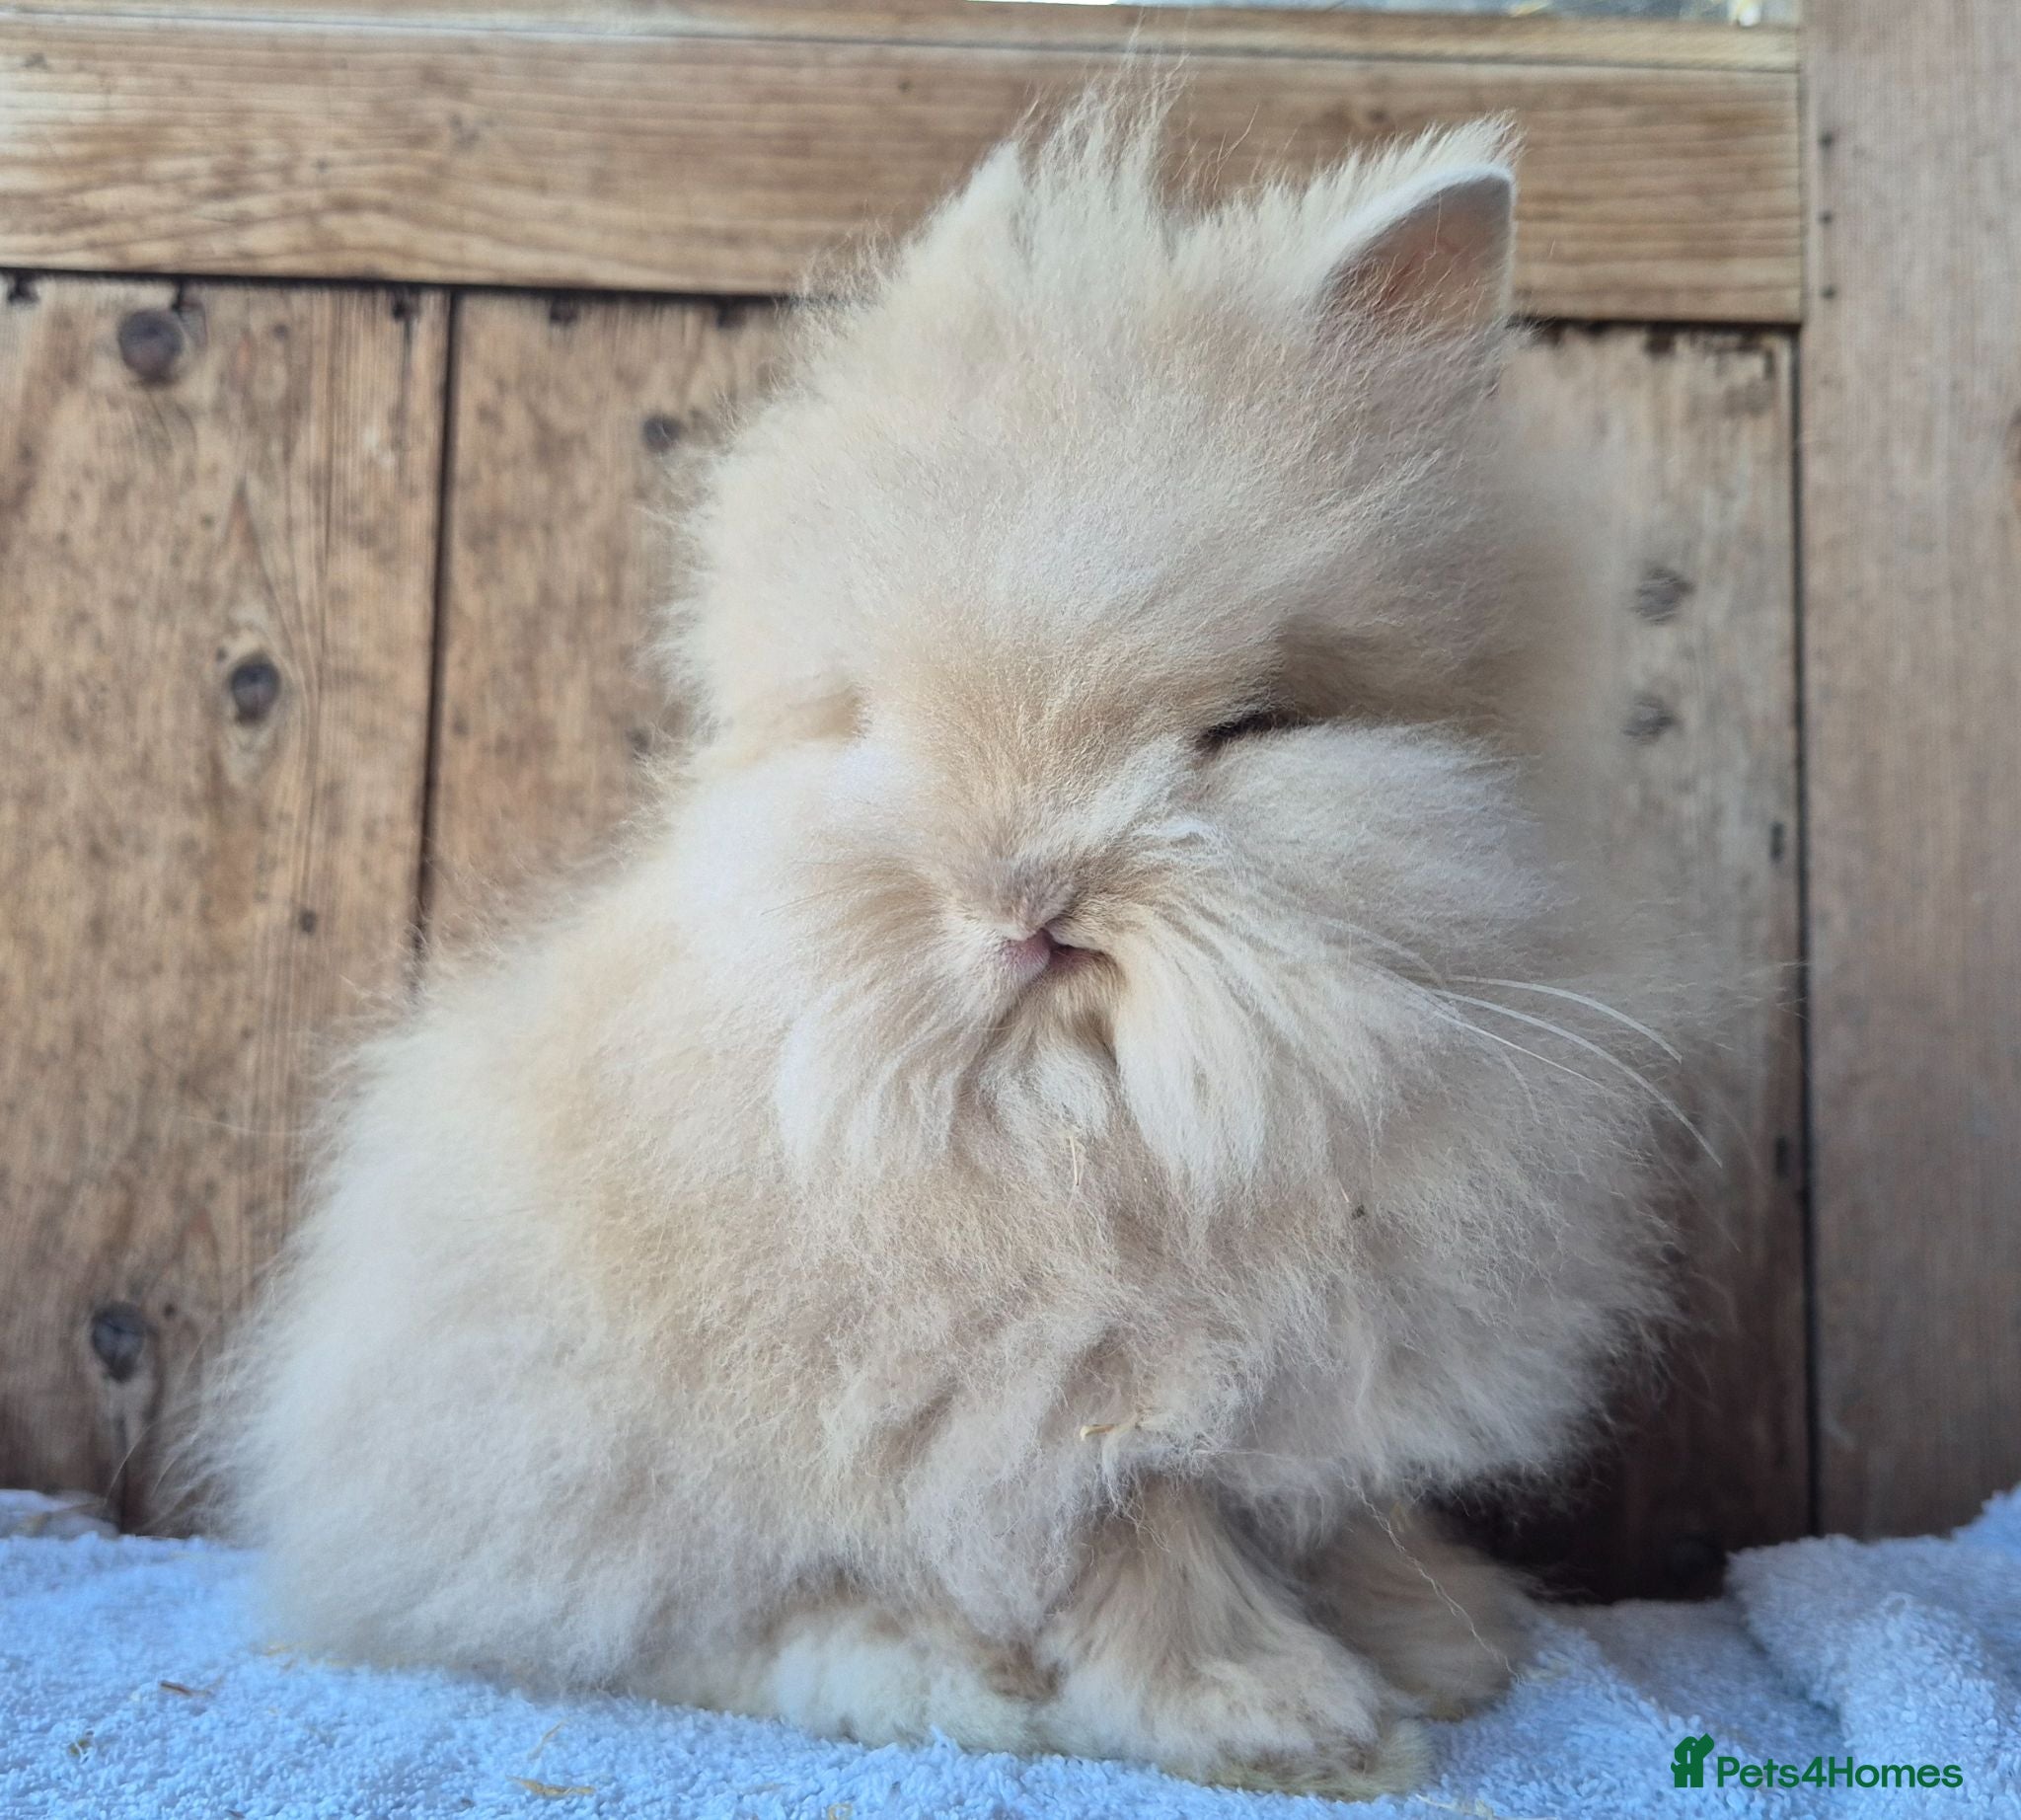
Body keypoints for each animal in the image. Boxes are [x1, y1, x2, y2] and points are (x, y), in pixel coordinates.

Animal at [216, 102, 1692, 1800]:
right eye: (873, 725)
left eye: (1249, 727)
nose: (1025, 900)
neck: (1099, 1127)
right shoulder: (1038, 1424)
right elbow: (1142, 1550)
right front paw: (1289, 1725)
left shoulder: (1337, 1374)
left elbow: (1338, 1511)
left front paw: (1451, 1649)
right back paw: (931, 1679)